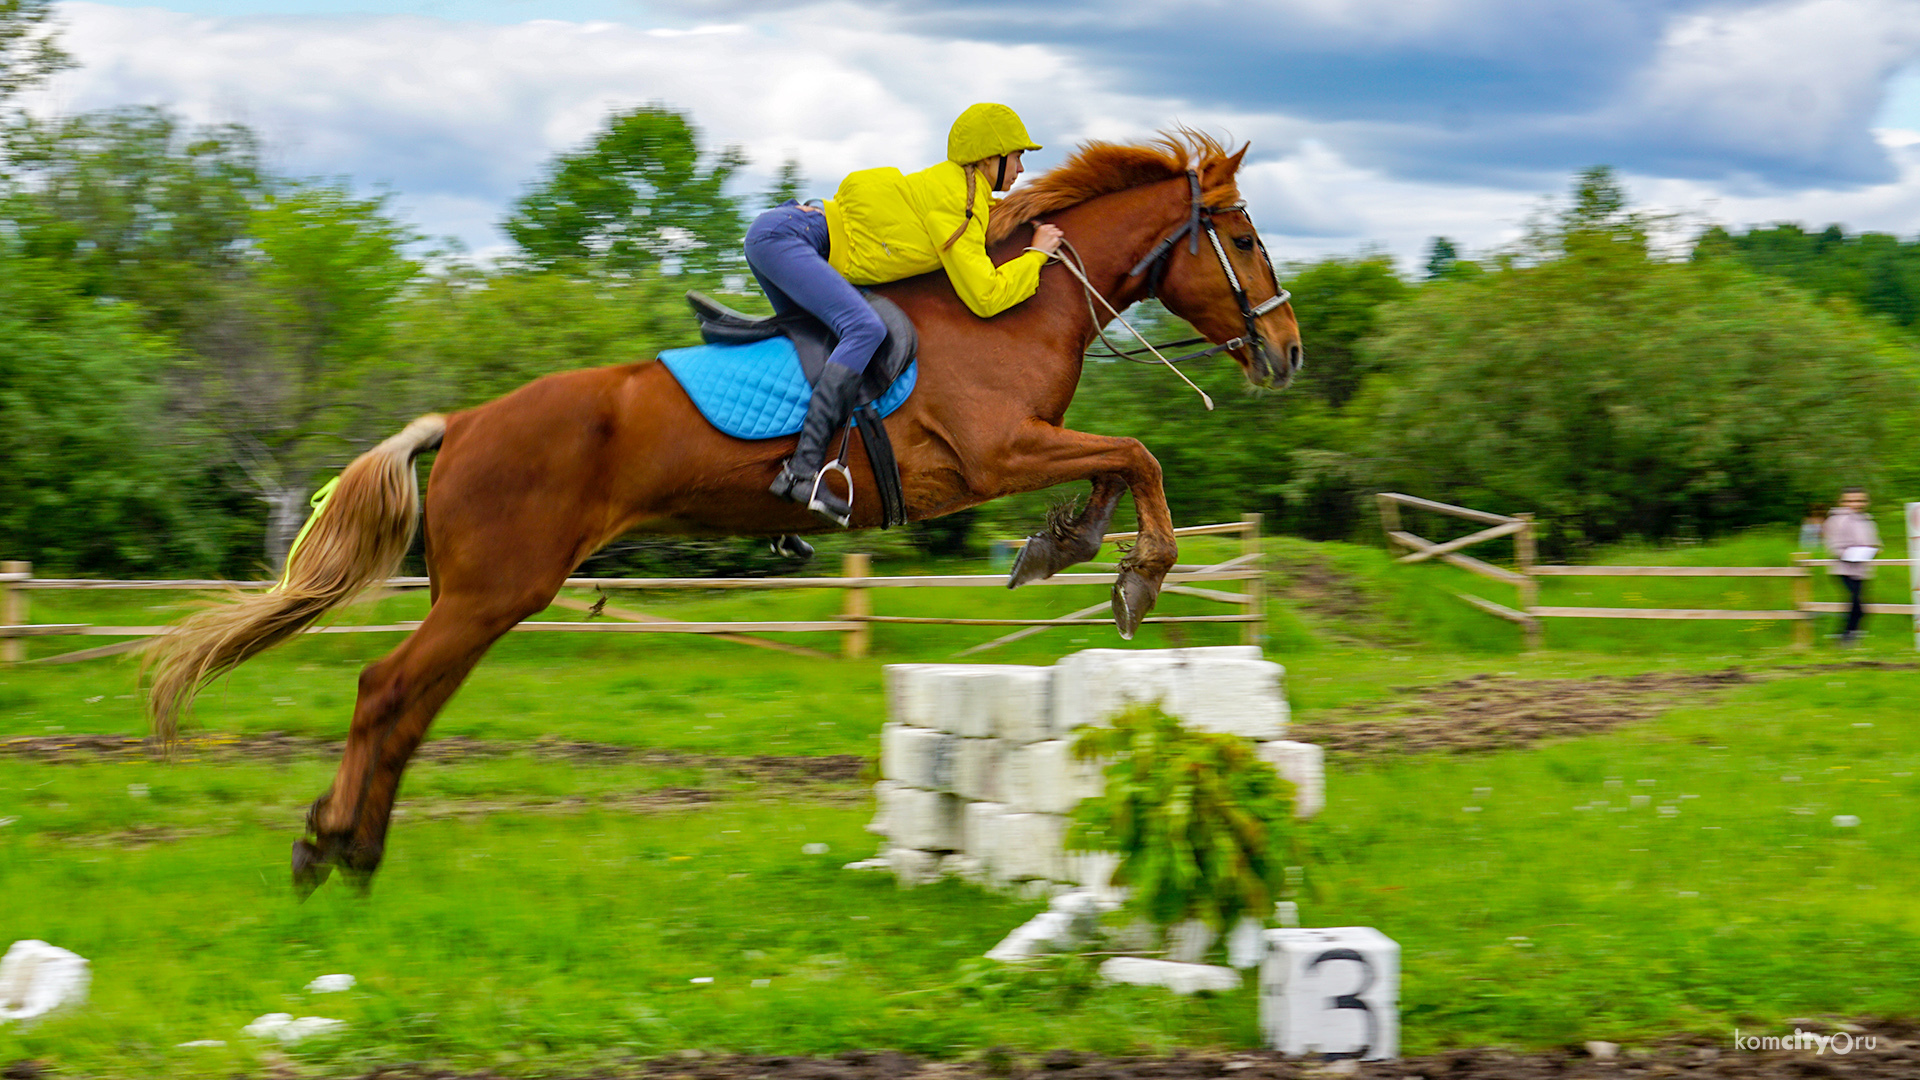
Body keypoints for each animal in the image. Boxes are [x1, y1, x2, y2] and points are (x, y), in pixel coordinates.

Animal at [142, 130, 1297, 887]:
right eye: (1241, 238)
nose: (1286, 354)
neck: (1014, 304)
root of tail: (464, 421)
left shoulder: (1022, 452)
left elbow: (1113, 468)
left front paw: (1067, 546)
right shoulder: (992, 454)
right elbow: (1138, 455)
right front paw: (1135, 575)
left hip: (488, 598)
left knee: (412, 703)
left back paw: (355, 847)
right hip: (493, 590)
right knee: (387, 690)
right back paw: (328, 845)